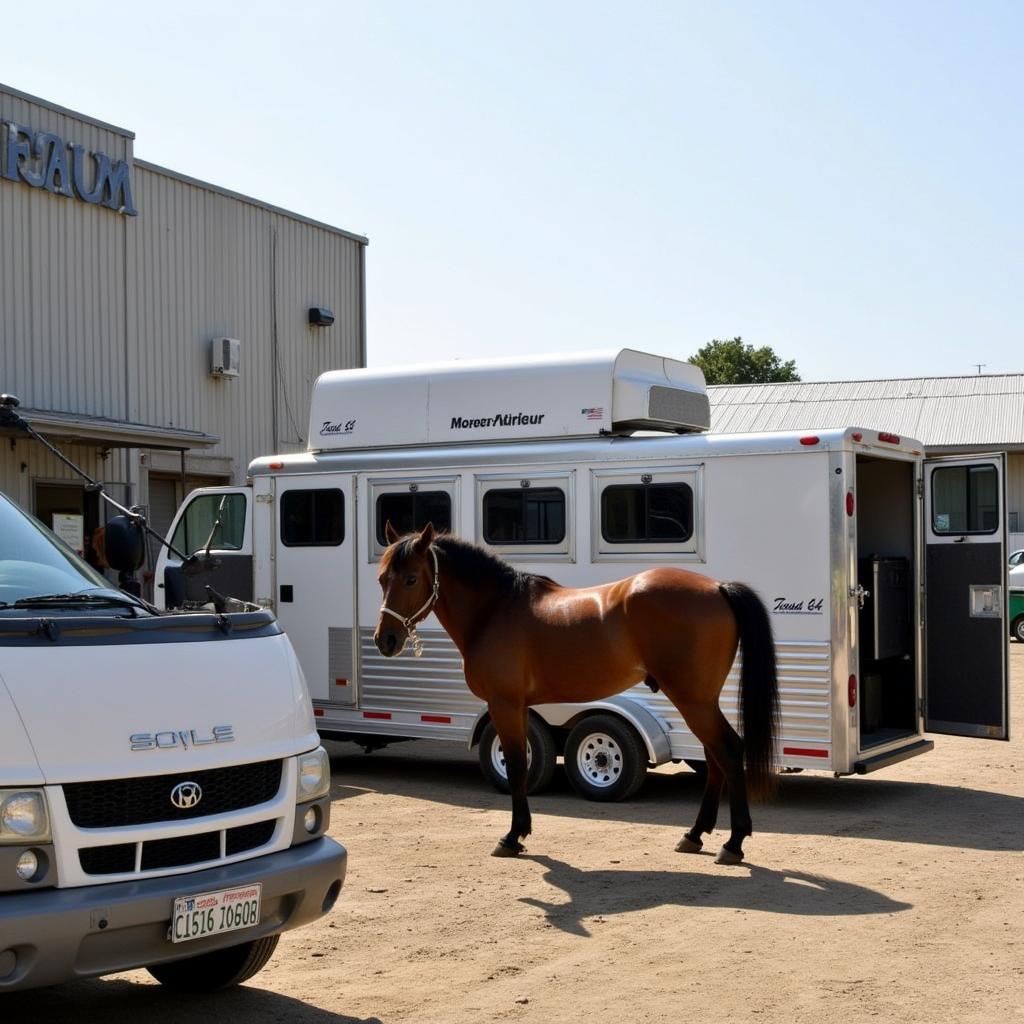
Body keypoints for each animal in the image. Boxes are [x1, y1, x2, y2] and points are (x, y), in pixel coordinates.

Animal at [372, 520, 778, 864]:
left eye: (411, 578)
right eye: (381, 578)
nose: (385, 640)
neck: (495, 610)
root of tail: (717, 588)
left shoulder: (504, 704)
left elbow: (517, 765)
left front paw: (512, 837)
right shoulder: (521, 706)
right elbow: (521, 766)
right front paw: (521, 832)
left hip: (693, 700)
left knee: (728, 751)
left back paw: (733, 843)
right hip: (701, 701)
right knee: (715, 757)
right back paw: (695, 835)